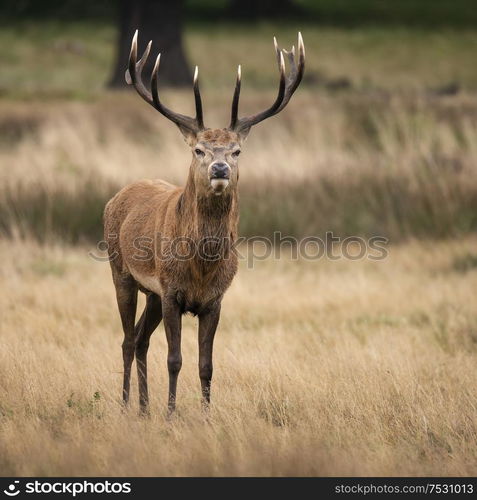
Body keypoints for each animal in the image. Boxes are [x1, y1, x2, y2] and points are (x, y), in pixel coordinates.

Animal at [104, 30, 304, 414]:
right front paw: (171, 414)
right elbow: (175, 359)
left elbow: (206, 364)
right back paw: (124, 405)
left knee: (140, 339)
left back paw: (144, 408)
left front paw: (206, 415)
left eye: (236, 150)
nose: (220, 168)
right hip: (121, 272)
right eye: (199, 149)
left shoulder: (214, 299)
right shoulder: (172, 292)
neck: (200, 267)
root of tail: (116, 196)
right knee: (126, 340)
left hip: (152, 293)